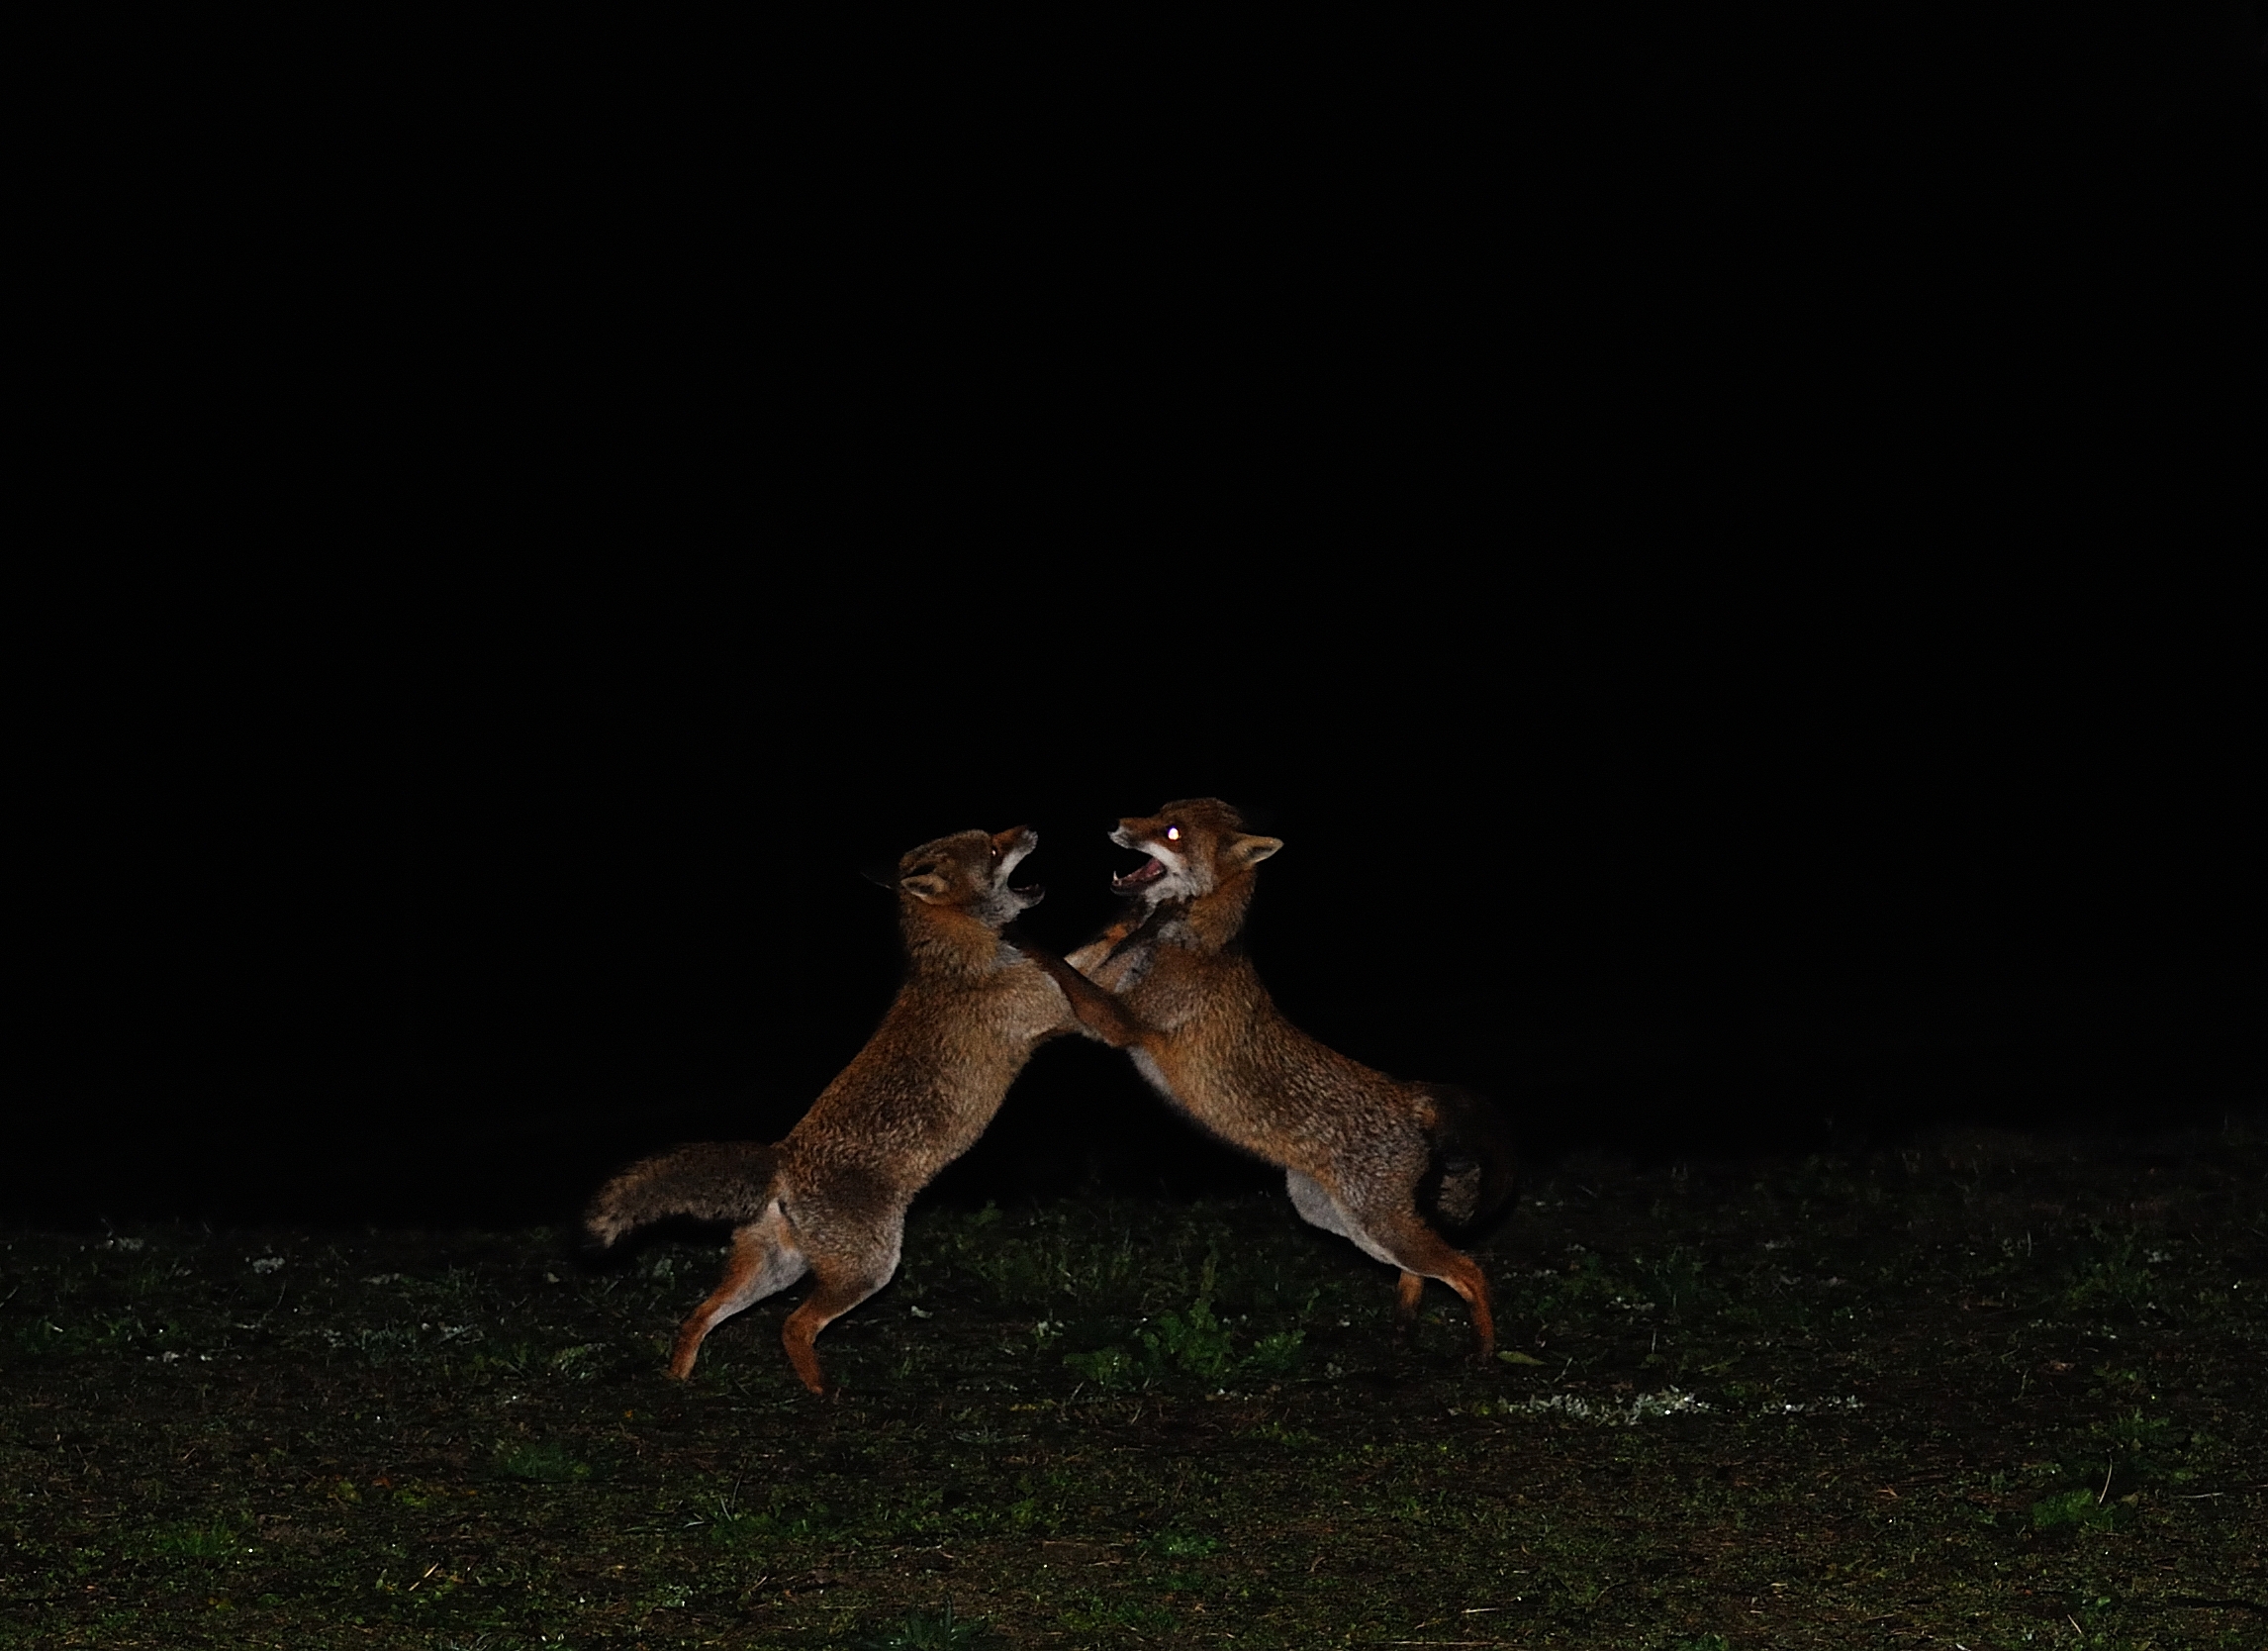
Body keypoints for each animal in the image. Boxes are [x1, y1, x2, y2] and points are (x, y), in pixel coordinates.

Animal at [585, 825, 1134, 1395]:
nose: (1030, 829)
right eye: (993, 849)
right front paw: (1132, 918)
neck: (959, 956)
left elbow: (1089, 952)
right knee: (794, 1325)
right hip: (869, 1269)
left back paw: (679, 1380)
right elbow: (1090, 966)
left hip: (776, 1270)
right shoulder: (1069, 1014)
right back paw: (823, 1393)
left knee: (698, 1316)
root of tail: (782, 1160)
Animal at [1051, 799, 1517, 1363]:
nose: (1115, 825)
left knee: (1469, 1271)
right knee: (1421, 1273)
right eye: (1159, 813)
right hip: (1340, 1220)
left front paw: (1018, 940)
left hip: (1375, 1224)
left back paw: (1485, 1352)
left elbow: (1056, 966)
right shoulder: (1106, 996)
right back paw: (1402, 1334)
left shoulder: (1121, 1021)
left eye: (1172, 832)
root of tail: (1409, 1095)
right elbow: (1082, 959)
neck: (1187, 934)